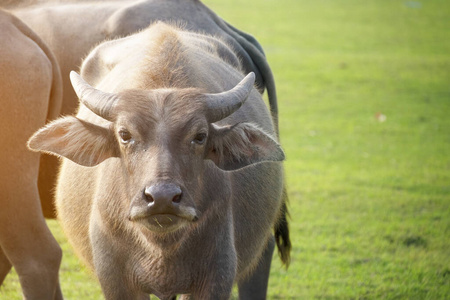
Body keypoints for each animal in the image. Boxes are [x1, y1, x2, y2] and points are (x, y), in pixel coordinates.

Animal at [28, 22, 288, 298]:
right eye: (124, 135)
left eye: (200, 136)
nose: (162, 198)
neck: (160, 247)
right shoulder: (114, 278)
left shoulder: (216, 276)